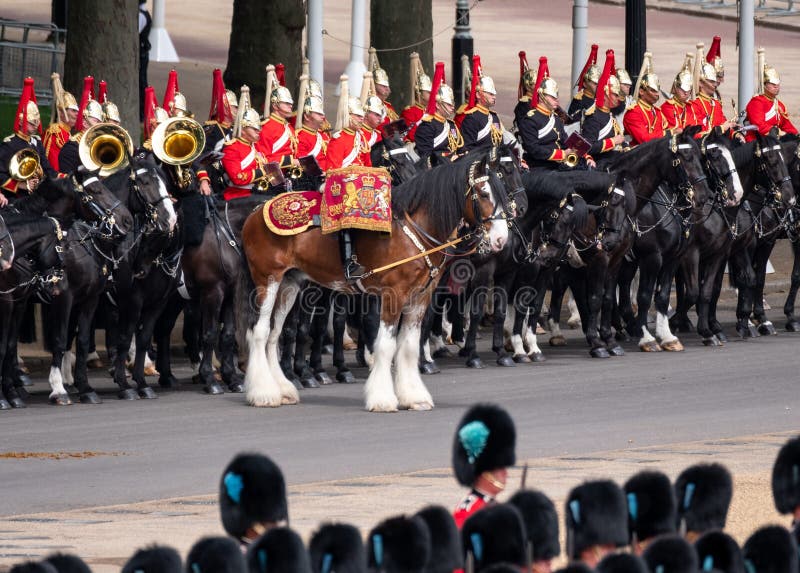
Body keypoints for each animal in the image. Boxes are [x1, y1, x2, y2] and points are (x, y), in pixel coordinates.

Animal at [238, 145, 512, 408]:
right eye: (484, 194)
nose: (501, 239)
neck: (414, 231)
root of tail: (256, 211)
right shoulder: (393, 296)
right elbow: (386, 345)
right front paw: (382, 398)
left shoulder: (419, 299)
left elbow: (409, 347)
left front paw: (414, 397)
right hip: (268, 281)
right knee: (259, 331)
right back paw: (263, 393)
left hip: (289, 284)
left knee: (274, 333)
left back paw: (282, 390)